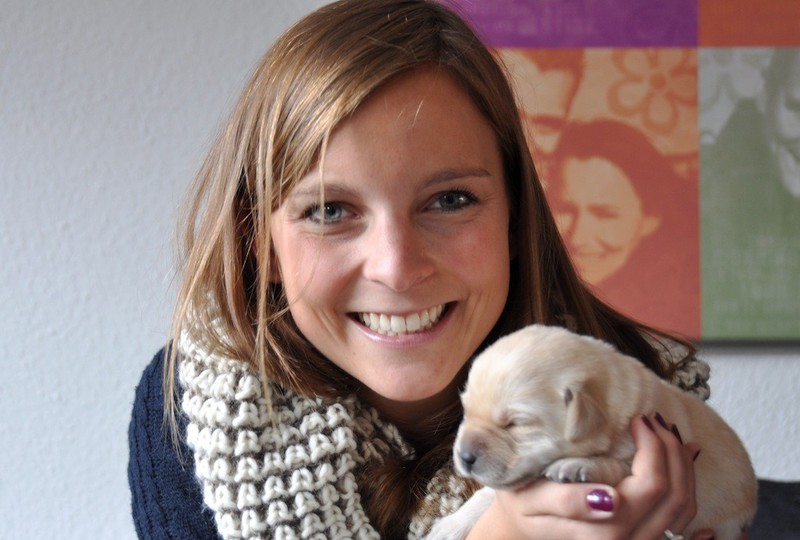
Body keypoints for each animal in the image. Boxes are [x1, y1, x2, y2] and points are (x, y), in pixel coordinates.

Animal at [428, 324, 757, 540]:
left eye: (515, 424)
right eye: (466, 411)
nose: (464, 457)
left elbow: (614, 465)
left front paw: (576, 466)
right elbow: (485, 495)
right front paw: (449, 526)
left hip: (728, 524)